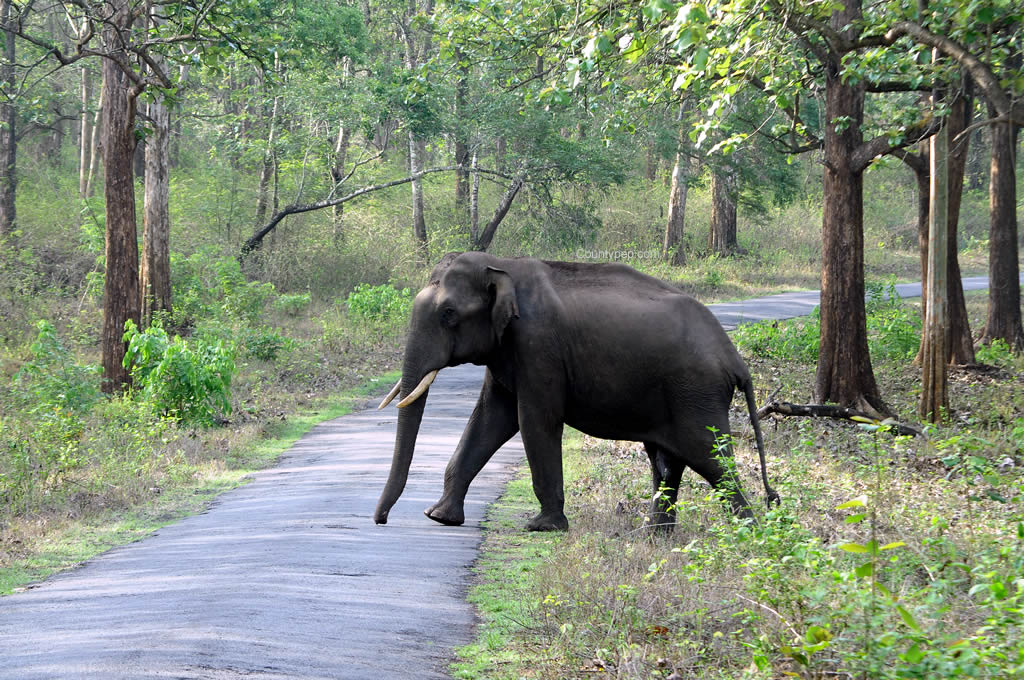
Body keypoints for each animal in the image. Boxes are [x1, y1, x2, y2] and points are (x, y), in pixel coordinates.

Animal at [374, 251, 779, 531]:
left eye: (449, 314)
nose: (381, 520)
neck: (502, 264)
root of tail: (735, 359)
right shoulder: (507, 349)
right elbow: (490, 419)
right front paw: (439, 517)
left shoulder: (539, 346)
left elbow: (533, 420)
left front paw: (544, 527)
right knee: (667, 462)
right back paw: (655, 537)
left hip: (697, 393)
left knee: (711, 459)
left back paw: (750, 534)